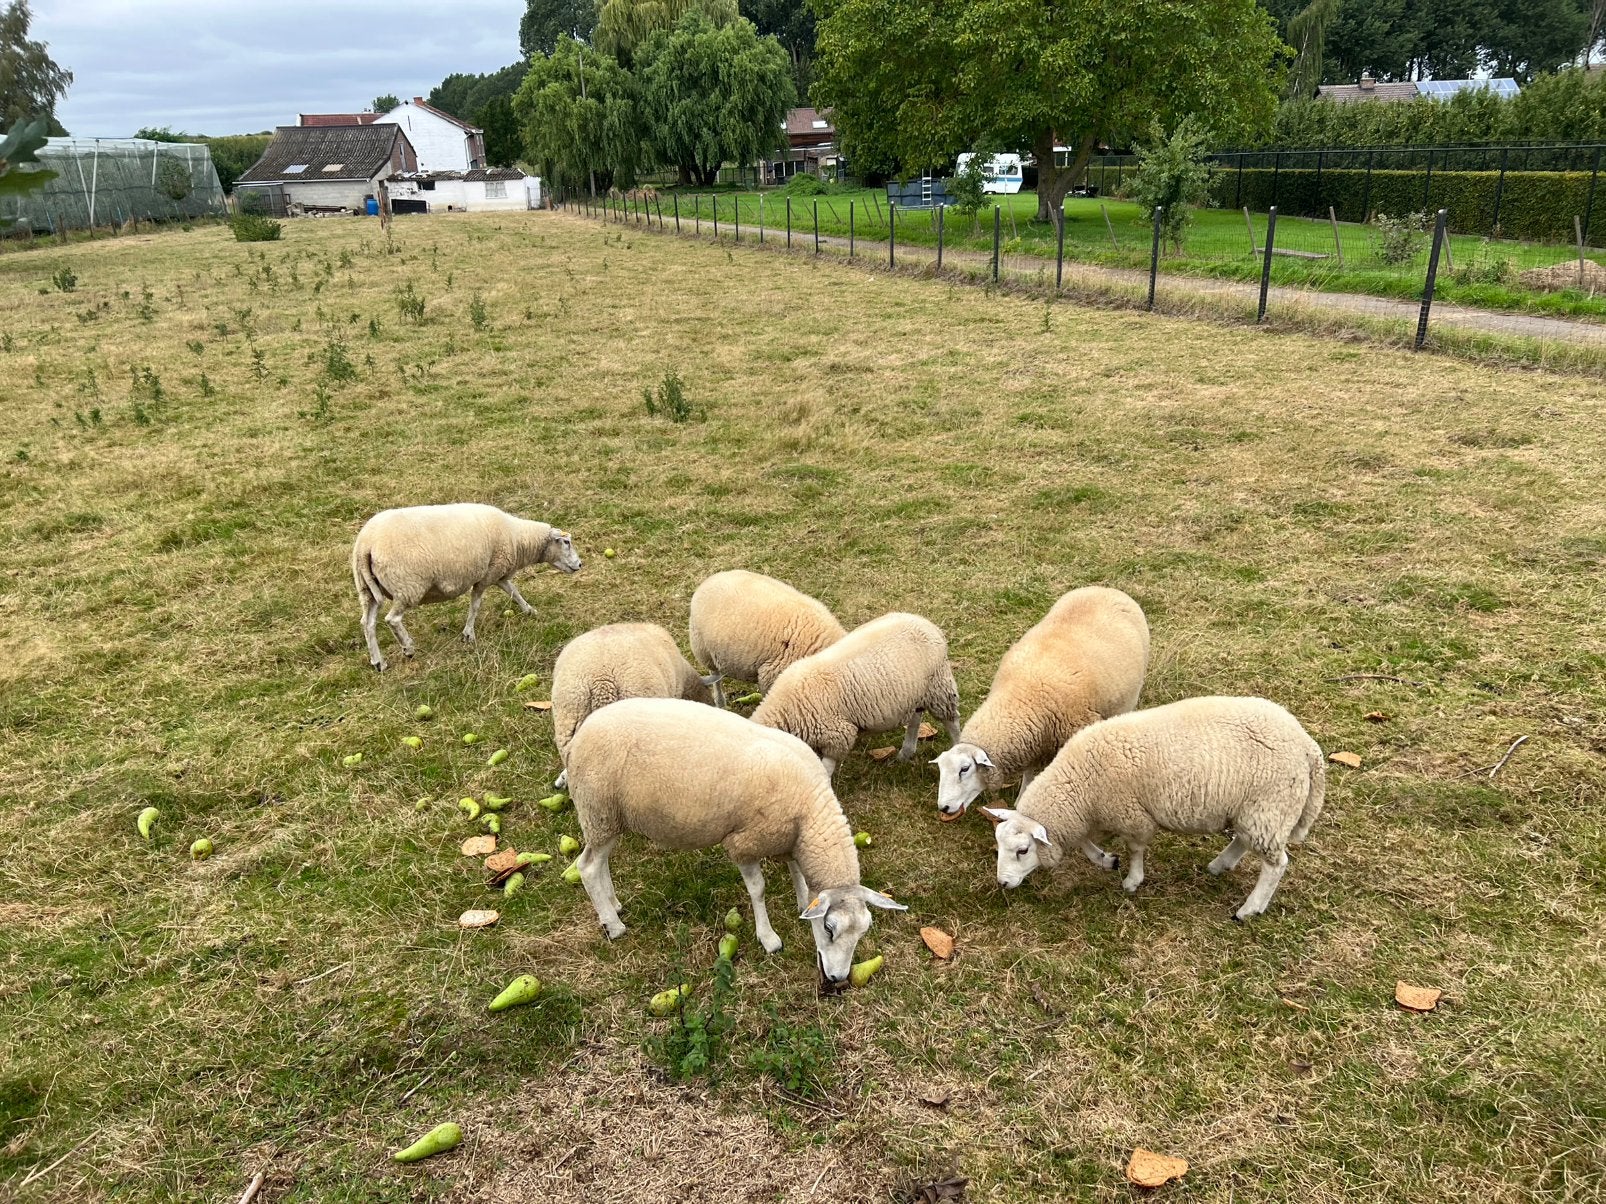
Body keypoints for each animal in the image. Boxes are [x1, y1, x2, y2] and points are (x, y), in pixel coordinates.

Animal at [351, 503, 581, 671]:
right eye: (566, 542)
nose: (580, 564)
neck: (518, 539)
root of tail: (365, 545)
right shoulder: (487, 574)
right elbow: (476, 605)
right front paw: (468, 634)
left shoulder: (497, 573)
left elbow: (514, 591)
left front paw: (529, 610)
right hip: (407, 585)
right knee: (392, 619)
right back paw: (408, 647)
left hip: (367, 589)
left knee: (367, 623)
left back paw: (378, 662)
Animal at [563, 697, 907, 984]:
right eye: (828, 928)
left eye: (863, 931)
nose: (838, 979)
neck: (810, 811)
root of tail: (581, 732)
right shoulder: (745, 842)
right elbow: (758, 890)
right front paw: (768, 938)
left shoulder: (789, 838)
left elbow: (797, 873)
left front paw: (802, 901)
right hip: (598, 808)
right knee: (587, 867)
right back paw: (613, 925)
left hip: (609, 817)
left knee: (601, 861)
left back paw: (613, 904)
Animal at [751, 612, 961, 777]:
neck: (784, 708)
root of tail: (928, 624)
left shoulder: (838, 735)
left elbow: (826, 768)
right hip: (917, 693)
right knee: (916, 717)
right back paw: (906, 752)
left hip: (939, 688)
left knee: (952, 721)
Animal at [935, 586, 1149, 823]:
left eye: (964, 769)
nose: (943, 807)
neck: (1022, 698)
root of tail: (1108, 589)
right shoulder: (1032, 742)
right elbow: (1029, 772)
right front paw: (1022, 797)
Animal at [984, 696, 1325, 921]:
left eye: (1023, 850)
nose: (1002, 883)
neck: (1079, 781)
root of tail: (1308, 748)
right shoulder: (1095, 814)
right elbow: (1085, 842)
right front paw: (1105, 860)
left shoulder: (1131, 815)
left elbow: (1135, 850)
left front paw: (1132, 880)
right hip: (1253, 810)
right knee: (1243, 839)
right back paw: (1220, 865)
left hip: (1270, 806)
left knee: (1276, 865)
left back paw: (1249, 908)